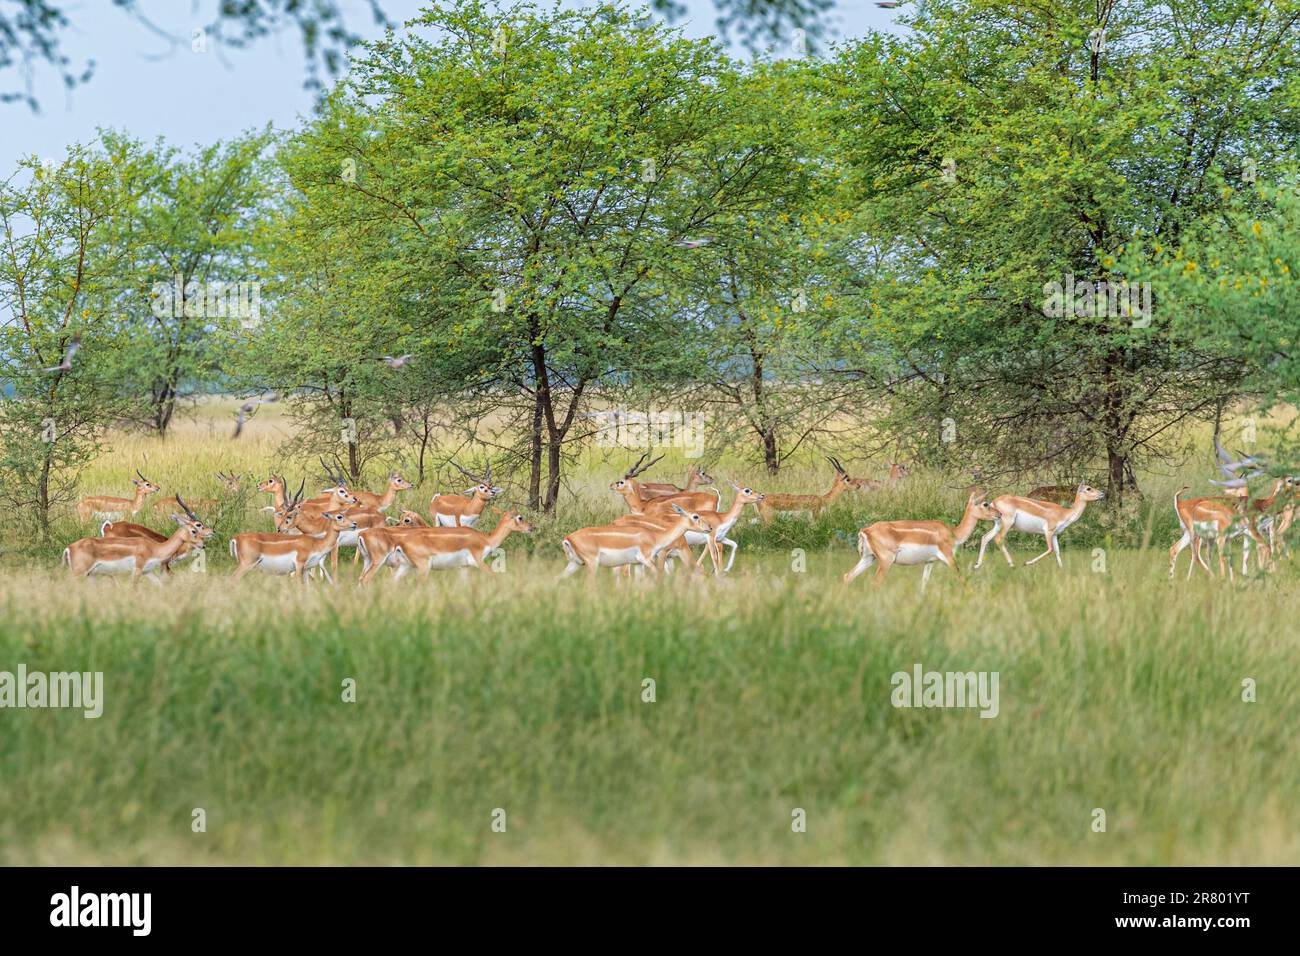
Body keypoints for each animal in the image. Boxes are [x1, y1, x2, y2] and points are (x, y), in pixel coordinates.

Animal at [230, 509, 358, 582]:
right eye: (339, 516)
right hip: (246, 564)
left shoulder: (306, 569)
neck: (316, 543)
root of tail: (235, 538)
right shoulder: (299, 565)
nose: (354, 524)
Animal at [559, 504, 712, 580]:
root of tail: (567, 539)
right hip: (592, 564)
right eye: (696, 516)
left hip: (576, 563)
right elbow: (660, 575)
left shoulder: (642, 563)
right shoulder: (652, 558)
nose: (709, 528)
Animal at [842, 494, 993, 590]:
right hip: (886, 560)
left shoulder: (929, 561)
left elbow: (923, 584)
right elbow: (962, 578)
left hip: (869, 558)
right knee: (875, 582)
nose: (998, 514)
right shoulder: (949, 557)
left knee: (847, 576)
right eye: (986, 504)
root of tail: (865, 530)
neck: (953, 533)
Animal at [977, 486, 1107, 567]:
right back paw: (1012, 564)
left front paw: (1062, 568)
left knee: (985, 537)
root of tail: (994, 502)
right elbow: (1050, 549)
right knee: (998, 539)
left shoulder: (1055, 534)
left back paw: (977, 565)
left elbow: (1057, 551)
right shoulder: (1048, 531)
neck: (1064, 513)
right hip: (1007, 523)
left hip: (998, 524)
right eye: (1088, 488)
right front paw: (1026, 563)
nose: (1102, 493)